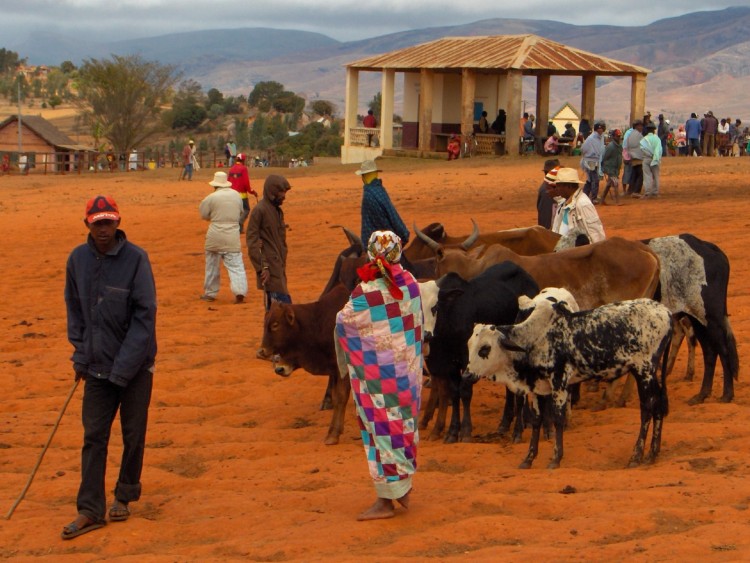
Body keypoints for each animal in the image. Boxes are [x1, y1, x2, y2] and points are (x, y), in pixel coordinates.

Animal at [464, 288, 676, 470]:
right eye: (469, 345)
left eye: (485, 348)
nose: (466, 375)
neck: (535, 338)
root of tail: (666, 312)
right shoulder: (537, 387)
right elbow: (537, 420)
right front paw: (528, 459)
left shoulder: (559, 382)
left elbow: (558, 418)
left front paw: (555, 458)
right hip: (651, 374)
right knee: (659, 405)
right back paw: (652, 454)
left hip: (644, 371)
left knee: (647, 409)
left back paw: (636, 456)